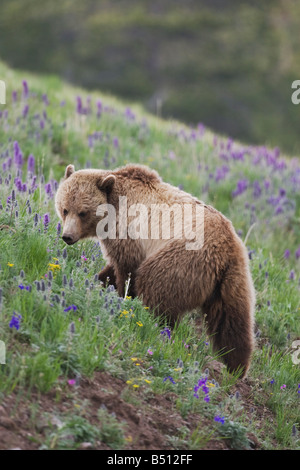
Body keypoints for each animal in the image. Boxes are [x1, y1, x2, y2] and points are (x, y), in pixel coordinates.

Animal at [55, 163, 255, 376]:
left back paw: (151, 325)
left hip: (181, 259)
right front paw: (98, 281)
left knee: (155, 290)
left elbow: (126, 270)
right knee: (233, 323)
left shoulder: (129, 233)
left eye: (83, 212)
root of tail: (226, 251)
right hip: (234, 281)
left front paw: (121, 297)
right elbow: (112, 270)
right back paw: (236, 367)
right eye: (65, 209)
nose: (67, 236)